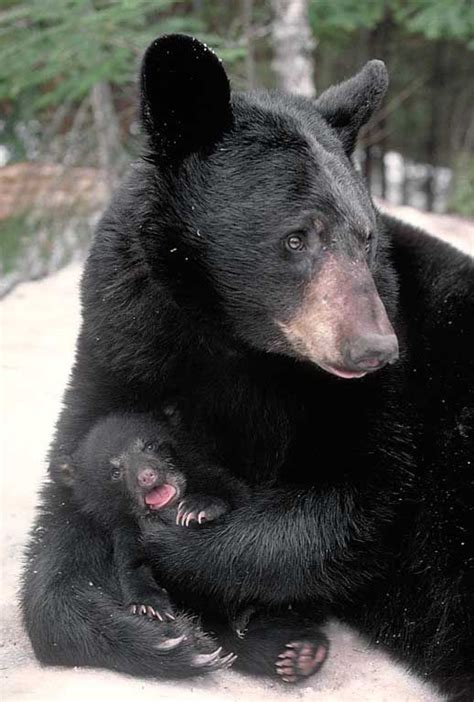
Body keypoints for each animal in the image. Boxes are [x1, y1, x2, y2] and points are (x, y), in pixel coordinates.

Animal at [23, 33, 474, 700]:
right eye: (296, 238)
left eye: (365, 237)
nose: (375, 349)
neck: (235, 342)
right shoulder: (124, 341)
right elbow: (69, 490)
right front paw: (157, 637)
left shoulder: (375, 393)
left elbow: (352, 504)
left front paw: (174, 543)